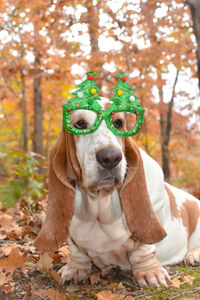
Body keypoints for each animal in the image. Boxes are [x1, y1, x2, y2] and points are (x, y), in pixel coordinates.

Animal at [35, 97, 200, 288]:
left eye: (118, 123)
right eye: (80, 124)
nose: (111, 157)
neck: (100, 203)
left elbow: (143, 249)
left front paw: (150, 273)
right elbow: (77, 251)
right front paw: (74, 269)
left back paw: (193, 255)